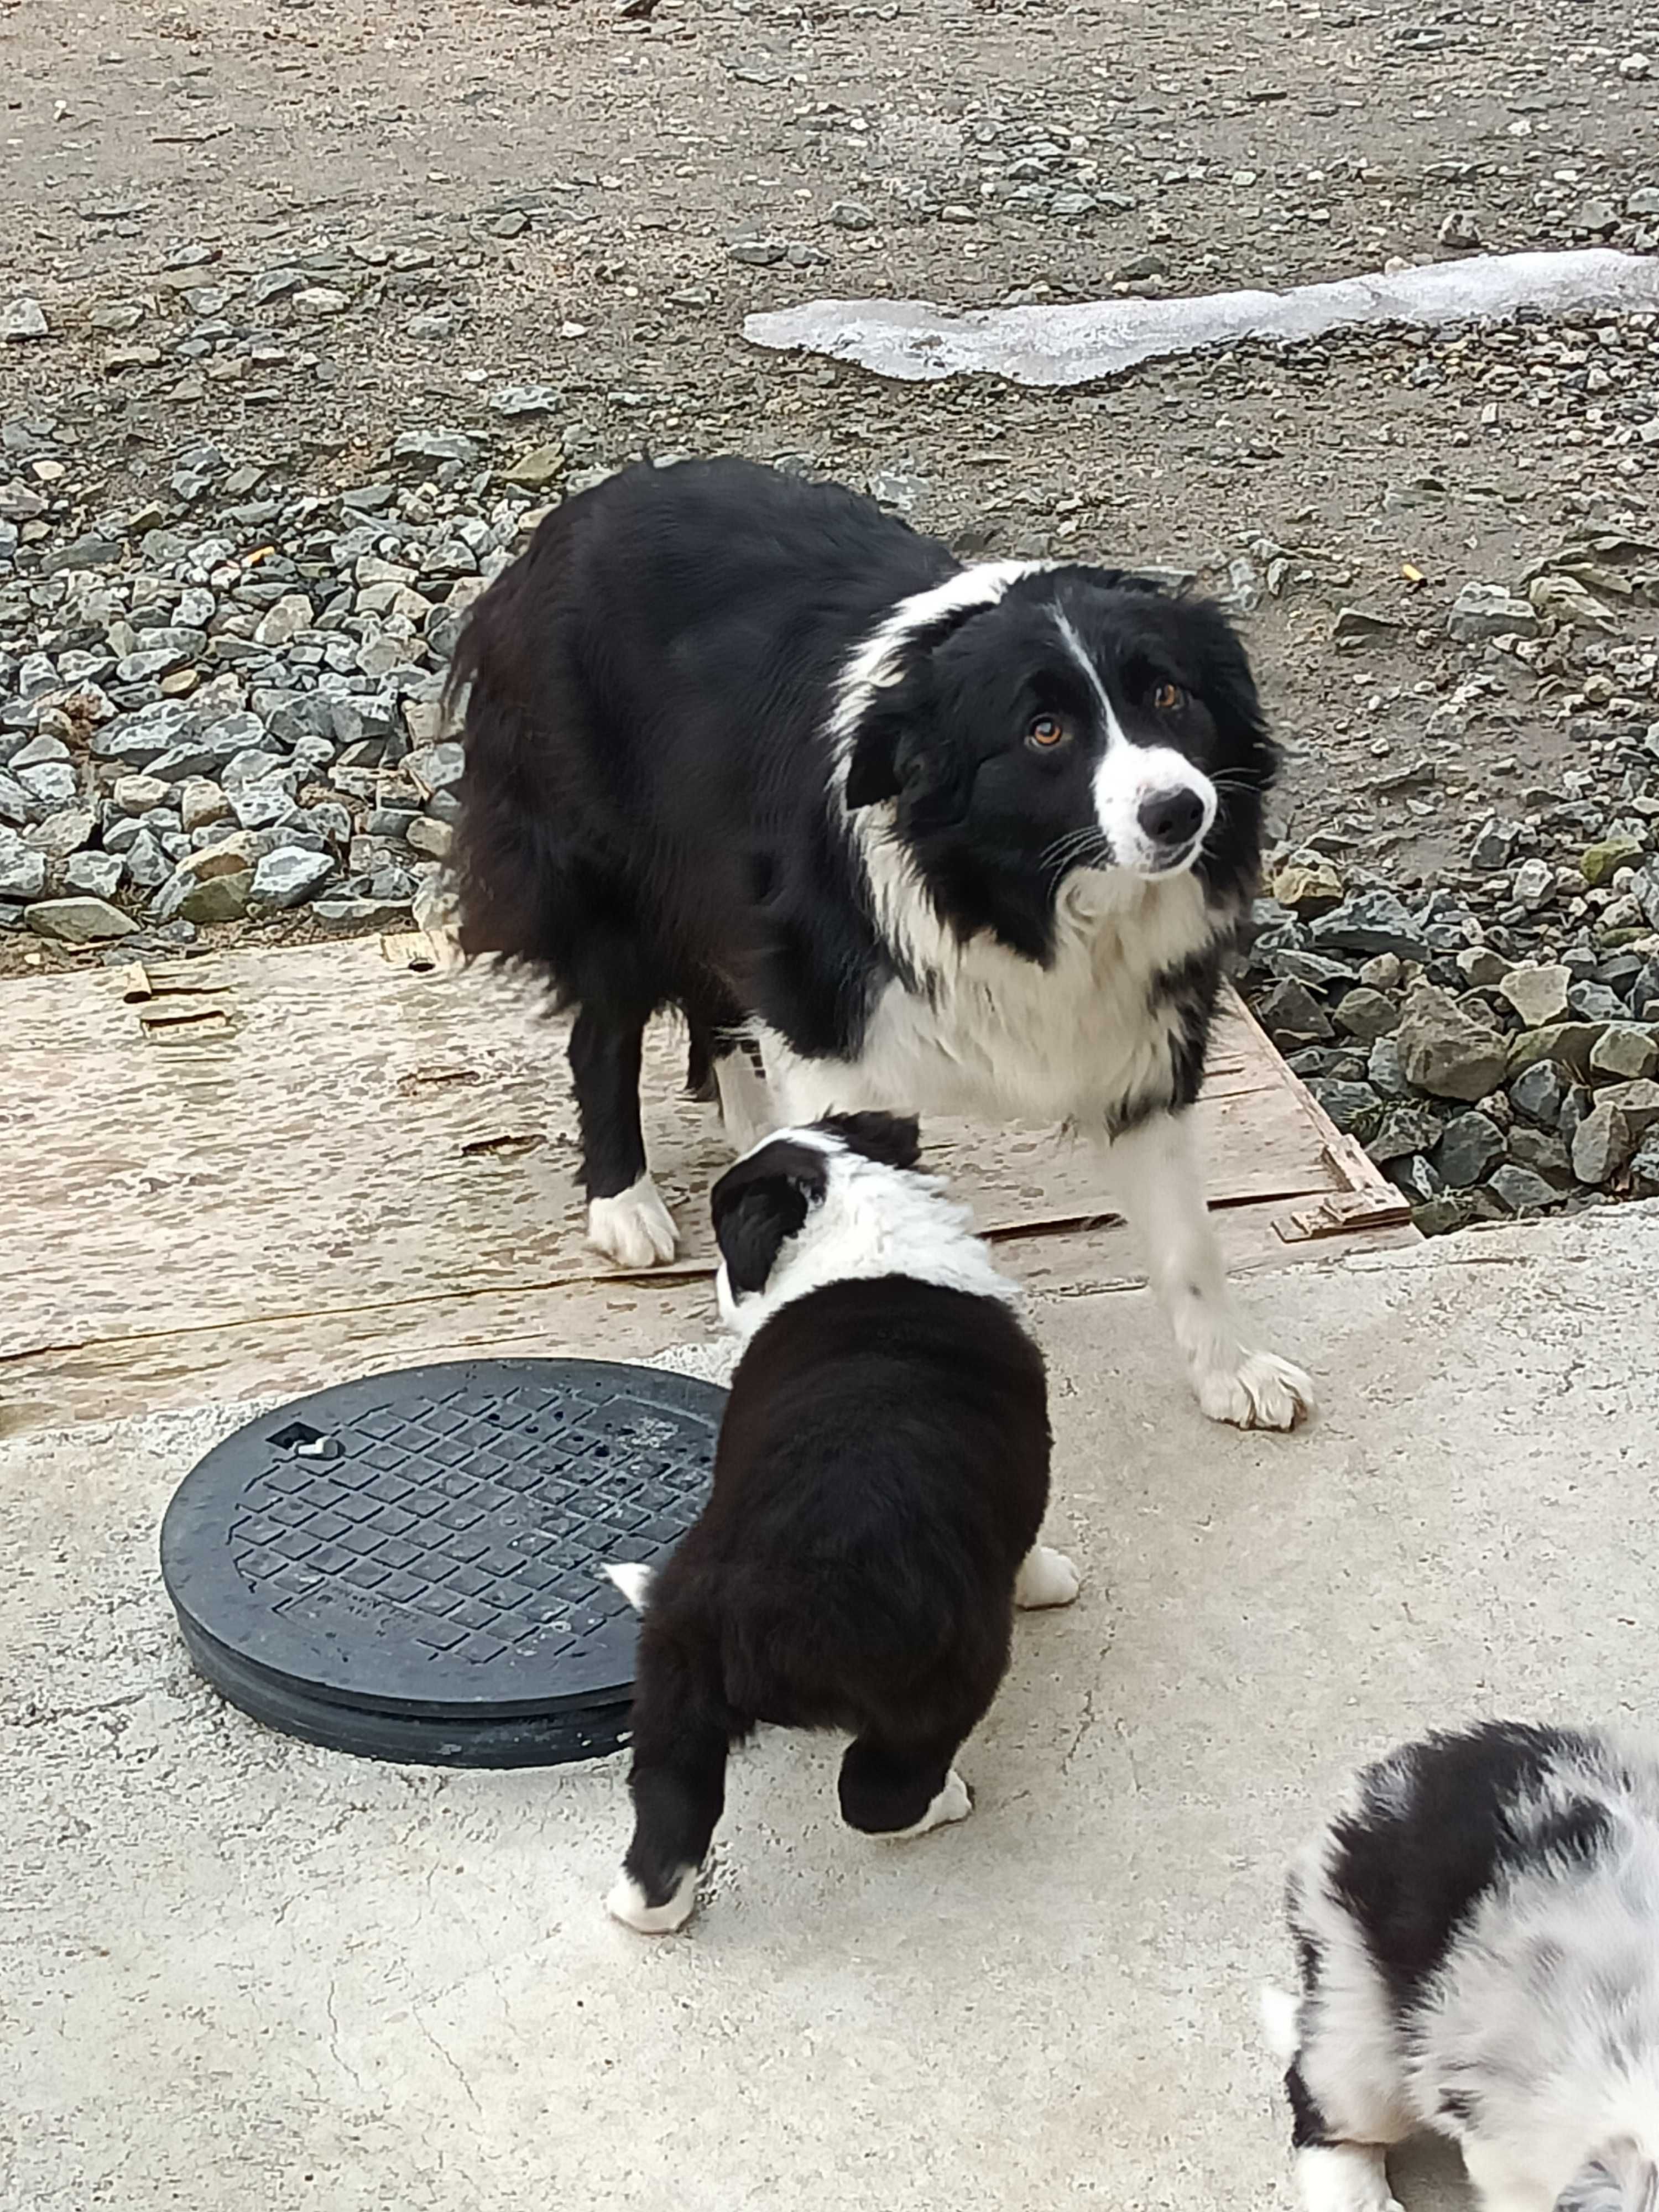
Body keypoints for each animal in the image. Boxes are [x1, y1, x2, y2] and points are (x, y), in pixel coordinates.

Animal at [449, 449, 1318, 1433]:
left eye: (1169, 693)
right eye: (1045, 731)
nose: (1180, 812)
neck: (1019, 892)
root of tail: (571, 519)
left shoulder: (1142, 1027)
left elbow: (1188, 1241)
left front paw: (1232, 1371)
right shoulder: (832, 1015)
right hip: (604, 877)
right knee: (603, 1035)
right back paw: (623, 1204)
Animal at [597, 1115, 1079, 1929]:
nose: (716, 1286)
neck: (857, 1221)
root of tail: (742, 1610)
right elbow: (1031, 1548)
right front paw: (1055, 1582)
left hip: (673, 1694)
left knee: (668, 1815)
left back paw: (643, 1908)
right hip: (936, 1683)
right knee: (873, 1795)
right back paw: (946, 1802)